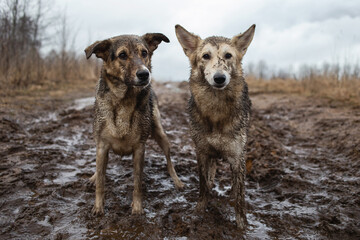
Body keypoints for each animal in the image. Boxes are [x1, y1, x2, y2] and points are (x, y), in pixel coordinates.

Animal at [85, 33, 184, 216]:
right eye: (122, 55)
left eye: (144, 53)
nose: (145, 74)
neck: (124, 99)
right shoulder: (102, 146)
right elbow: (101, 181)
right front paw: (98, 207)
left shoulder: (139, 149)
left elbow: (137, 182)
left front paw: (137, 208)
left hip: (160, 133)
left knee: (169, 160)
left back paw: (177, 180)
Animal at [175, 24, 256, 231]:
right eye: (205, 56)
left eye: (228, 55)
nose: (220, 78)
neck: (216, 109)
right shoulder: (202, 152)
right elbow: (203, 185)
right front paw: (199, 211)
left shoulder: (237, 157)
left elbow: (240, 197)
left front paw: (242, 225)